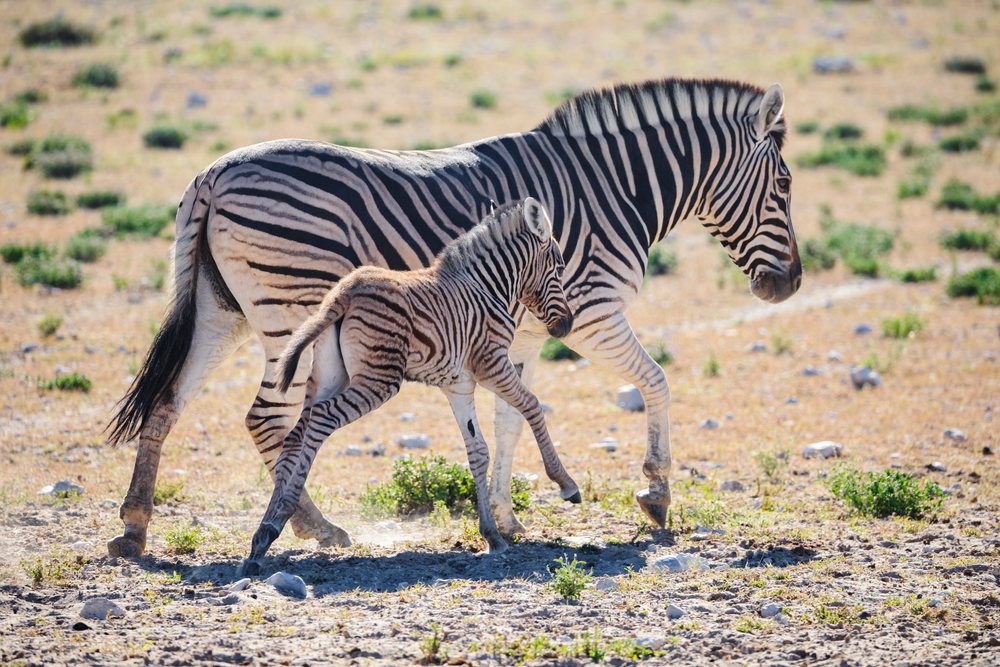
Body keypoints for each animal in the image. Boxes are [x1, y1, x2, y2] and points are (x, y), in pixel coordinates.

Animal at [242, 197, 578, 573]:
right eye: (560, 268)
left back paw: (264, 534)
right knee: (322, 420)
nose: (566, 326)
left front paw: (491, 534)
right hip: (379, 379)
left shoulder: (459, 385)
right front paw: (565, 484)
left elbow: (478, 452)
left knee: (296, 434)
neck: (487, 287)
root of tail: (345, 293)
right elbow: (533, 407)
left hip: (330, 377)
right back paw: (279, 518)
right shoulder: (492, 363)